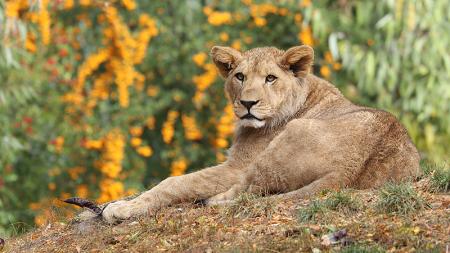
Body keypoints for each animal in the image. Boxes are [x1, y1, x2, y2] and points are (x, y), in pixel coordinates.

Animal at [94, 45, 418, 223]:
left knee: (248, 191)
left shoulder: (237, 166)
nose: (248, 103)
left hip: (282, 144)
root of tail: (350, 171)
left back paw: (211, 201)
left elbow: (174, 182)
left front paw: (123, 209)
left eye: (270, 78)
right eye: (239, 76)